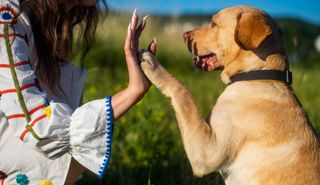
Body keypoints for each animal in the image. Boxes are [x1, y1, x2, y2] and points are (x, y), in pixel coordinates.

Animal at [141, 5, 320, 185]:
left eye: (214, 23)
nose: (184, 34)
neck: (258, 75)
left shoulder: (208, 153)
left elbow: (183, 92)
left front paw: (153, 65)